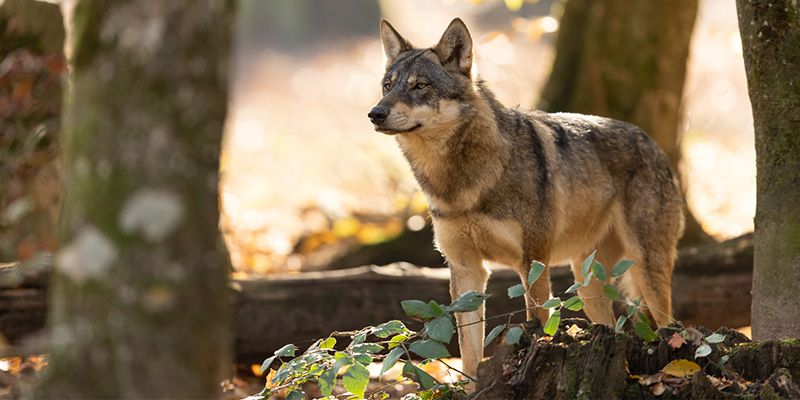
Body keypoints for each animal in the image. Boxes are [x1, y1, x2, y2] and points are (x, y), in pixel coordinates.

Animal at [368, 19, 680, 382]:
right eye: (387, 86)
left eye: (420, 86)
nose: (375, 113)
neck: (463, 181)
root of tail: (654, 144)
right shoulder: (467, 271)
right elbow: (469, 353)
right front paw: (472, 388)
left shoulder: (533, 264)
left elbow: (536, 327)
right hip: (587, 284)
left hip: (645, 271)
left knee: (672, 326)